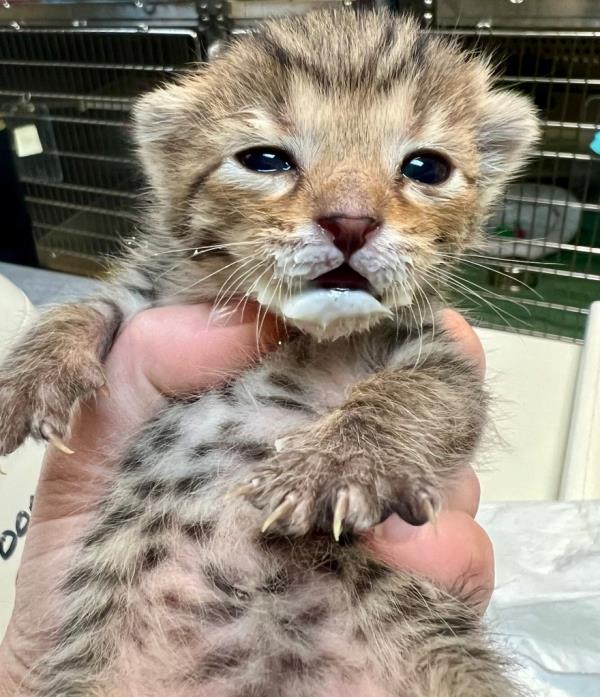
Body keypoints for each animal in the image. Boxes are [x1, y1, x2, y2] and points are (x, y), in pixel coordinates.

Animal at [0, 9, 536, 696]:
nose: (350, 222)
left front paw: (339, 465)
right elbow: (86, 307)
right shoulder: (148, 296)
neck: (312, 336)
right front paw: (31, 375)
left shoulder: (440, 356)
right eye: (265, 160)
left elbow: (417, 393)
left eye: (427, 168)